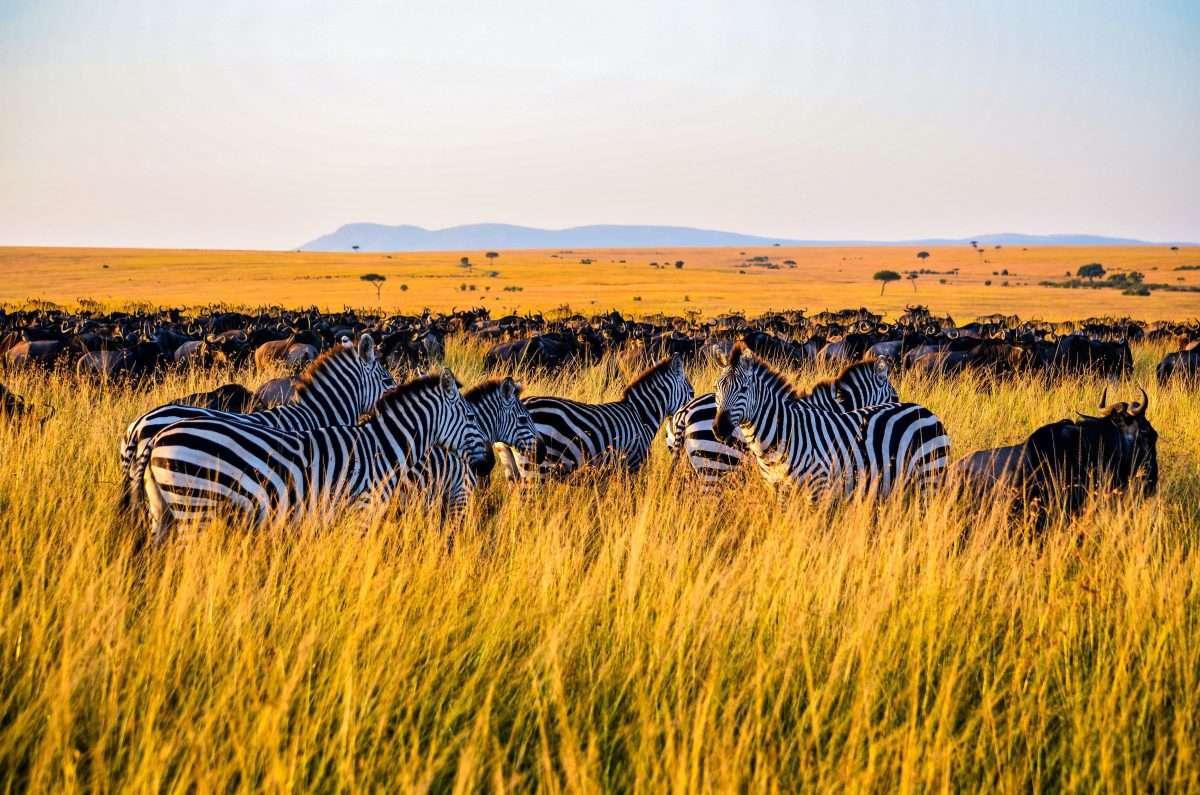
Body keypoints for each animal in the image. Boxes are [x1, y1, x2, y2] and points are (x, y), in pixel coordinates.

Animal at [137, 370, 487, 543]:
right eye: (471, 416)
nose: (487, 465)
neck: (383, 449)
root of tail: (155, 437)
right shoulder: (360, 513)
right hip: (195, 506)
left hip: (163, 509)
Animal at [496, 354, 693, 480]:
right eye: (692, 393)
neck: (640, 414)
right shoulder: (633, 462)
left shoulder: (615, 467)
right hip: (537, 465)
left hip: (512, 466)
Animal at [713, 345, 949, 497]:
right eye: (717, 388)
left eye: (744, 389)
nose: (719, 429)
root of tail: (927, 410)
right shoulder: (778, 488)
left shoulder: (820, 486)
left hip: (929, 477)